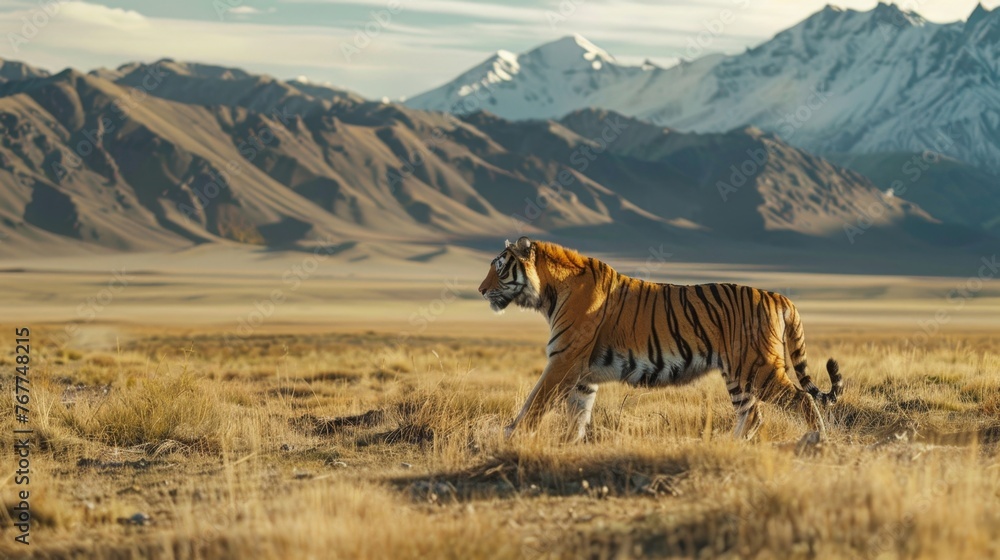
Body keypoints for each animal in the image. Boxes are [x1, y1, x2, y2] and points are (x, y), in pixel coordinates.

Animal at [477, 237, 844, 446]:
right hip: (738, 373)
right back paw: (727, 445)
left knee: (801, 398)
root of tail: (777, 295)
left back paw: (817, 438)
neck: (547, 294)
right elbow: (577, 413)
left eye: (499, 267)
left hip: (759, 367)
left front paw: (512, 435)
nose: (480, 290)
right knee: (752, 414)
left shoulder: (563, 360)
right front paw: (568, 445)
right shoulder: (581, 374)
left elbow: (535, 402)